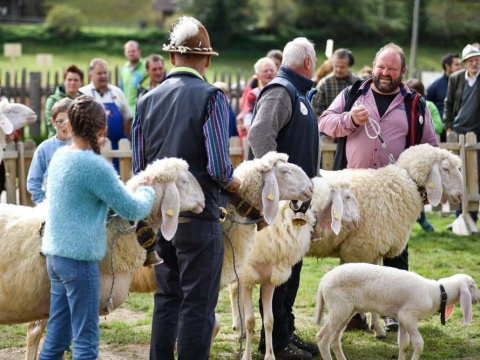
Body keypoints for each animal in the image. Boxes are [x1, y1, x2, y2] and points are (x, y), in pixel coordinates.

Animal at [232, 177, 360, 360]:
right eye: (348, 197)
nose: (358, 220)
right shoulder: (247, 278)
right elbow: (251, 321)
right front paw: (247, 356)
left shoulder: (270, 280)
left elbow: (269, 320)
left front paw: (270, 355)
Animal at [316, 262, 480, 360]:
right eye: (472, 286)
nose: (478, 299)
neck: (436, 293)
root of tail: (323, 281)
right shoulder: (408, 317)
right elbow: (419, 344)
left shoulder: (402, 318)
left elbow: (404, 345)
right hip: (339, 307)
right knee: (322, 338)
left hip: (346, 310)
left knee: (335, 339)